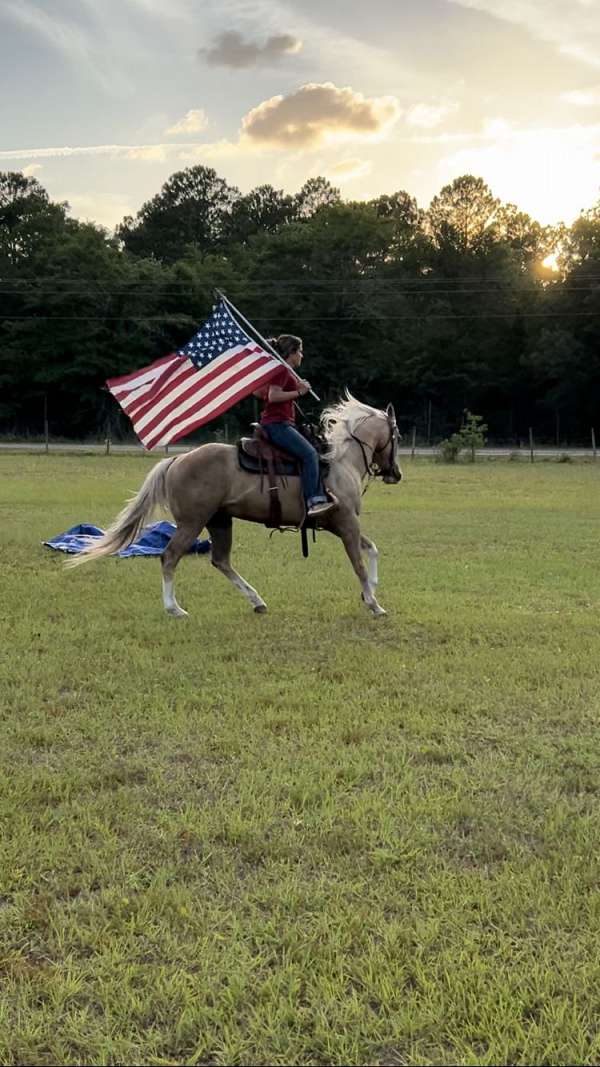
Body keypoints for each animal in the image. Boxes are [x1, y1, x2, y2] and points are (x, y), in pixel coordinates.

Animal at [69, 394, 401, 618]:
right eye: (395, 435)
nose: (395, 474)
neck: (341, 462)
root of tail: (176, 459)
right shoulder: (346, 523)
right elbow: (359, 563)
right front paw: (375, 604)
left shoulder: (338, 524)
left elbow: (372, 549)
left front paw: (370, 590)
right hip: (192, 523)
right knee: (170, 556)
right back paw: (174, 608)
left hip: (219, 521)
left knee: (221, 561)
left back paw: (257, 601)